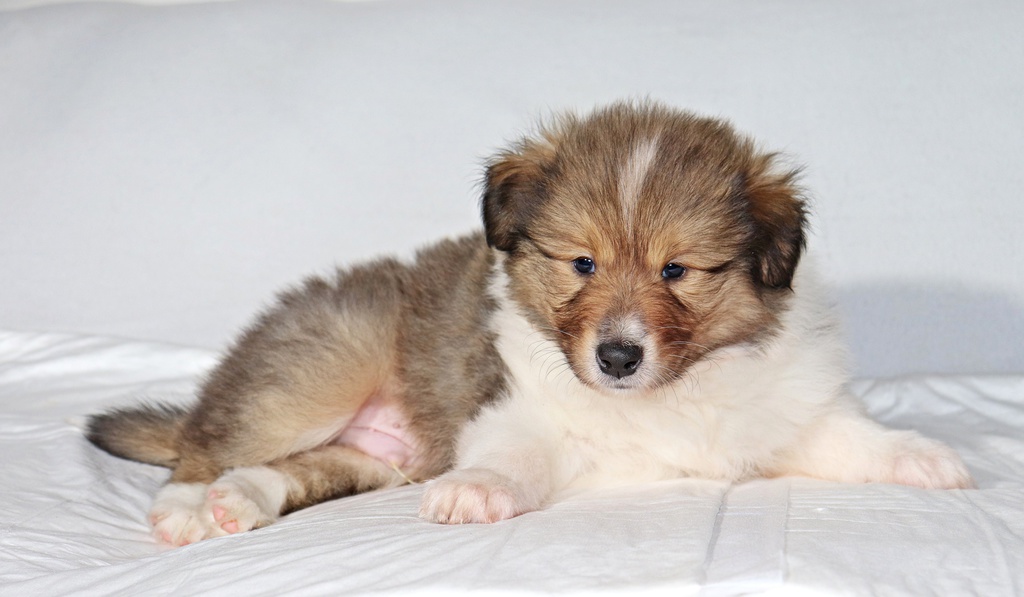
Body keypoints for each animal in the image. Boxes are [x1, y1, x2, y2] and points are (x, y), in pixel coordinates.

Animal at [87, 101, 973, 546]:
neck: (671, 393)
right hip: (319, 371)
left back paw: (239, 504)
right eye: (581, 264)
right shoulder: (516, 410)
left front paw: (924, 457)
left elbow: (850, 435)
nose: (617, 356)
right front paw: (475, 492)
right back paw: (193, 506)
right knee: (209, 446)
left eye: (676, 271)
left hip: (374, 454)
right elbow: (511, 458)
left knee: (294, 469)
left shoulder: (785, 413)